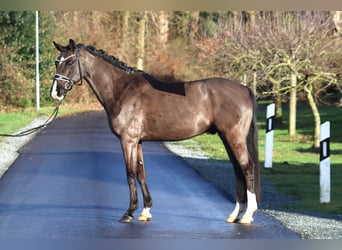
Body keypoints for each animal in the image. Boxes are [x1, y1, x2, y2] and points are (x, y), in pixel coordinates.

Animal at [50, 39, 260, 225]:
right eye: (56, 62)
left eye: (69, 62)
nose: (55, 93)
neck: (123, 90)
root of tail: (244, 89)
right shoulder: (138, 142)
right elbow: (141, 172)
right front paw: (145, 211)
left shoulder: (128, 140)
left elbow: (130, 173)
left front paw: (129, 213)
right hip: (227, 138)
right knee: (238, 171)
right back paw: (234, 214)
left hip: (234, 137)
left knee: (247, 168)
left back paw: (248, 215)